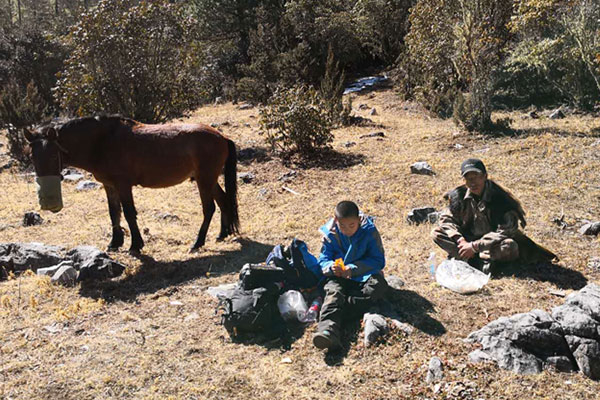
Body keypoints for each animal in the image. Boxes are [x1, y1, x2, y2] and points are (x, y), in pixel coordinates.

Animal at [25, 115, 239, 252]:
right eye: (32, 156)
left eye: (54, 155)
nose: (48, 201)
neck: (102, 143)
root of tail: (222, 137)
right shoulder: (109, 185)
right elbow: (114, 213)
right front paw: (115, 243)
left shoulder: (123, 185)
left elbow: (128, 213)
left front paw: (135, 245)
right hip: (209, 179)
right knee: (223, 200)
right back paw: (223, 233)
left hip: (205, 179)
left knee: (209, 208)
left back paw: (198, 242)